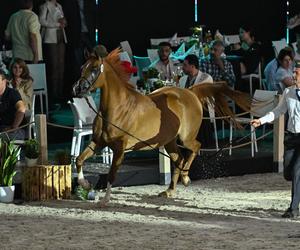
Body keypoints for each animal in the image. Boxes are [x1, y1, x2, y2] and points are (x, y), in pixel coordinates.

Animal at [71, 48, 250, 205]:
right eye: (82, 67)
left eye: (94, 68)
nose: (77, 89)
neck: (118, 108)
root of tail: (191, 92)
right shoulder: (98, 142)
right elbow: (79, 159)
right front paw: (85, 184)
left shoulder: (120, 148)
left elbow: (112, 174)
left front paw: (105, 200)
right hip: (169, 141)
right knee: (179, 159)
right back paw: (169, 191)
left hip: (186, 138)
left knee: (195, 147)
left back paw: (186, 178)